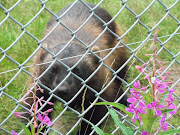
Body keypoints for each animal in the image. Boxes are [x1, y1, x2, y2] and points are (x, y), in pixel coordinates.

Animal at [26, 1, 129, 135]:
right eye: (52, 70)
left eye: (78, 70)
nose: (62, 89)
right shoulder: (39, 84)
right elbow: (36, 112)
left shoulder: (99, 84)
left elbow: (94, 116)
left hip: (119, 49)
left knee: (121, 74)